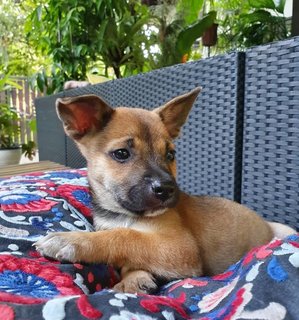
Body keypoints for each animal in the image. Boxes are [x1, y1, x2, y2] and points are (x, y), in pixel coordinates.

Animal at [34, 87, 296, 292]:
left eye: (170, 155)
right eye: (121, 154)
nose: (168, 189)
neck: (121, 214)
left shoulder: (179, 247)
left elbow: (127, 237)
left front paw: (73, 240)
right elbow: (130, 251)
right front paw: (135, 278)